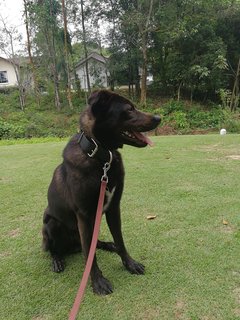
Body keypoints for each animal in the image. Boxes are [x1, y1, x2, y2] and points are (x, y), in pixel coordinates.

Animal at [42, 90, 160, 296]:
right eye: (129, 109)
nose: (158, 118)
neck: (103, 158)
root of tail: (71, 247)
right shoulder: (84, 215)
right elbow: (90, 255)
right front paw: (98, 282)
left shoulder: (114, 208)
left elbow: (120, 240)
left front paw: (129, 264)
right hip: (51, 223)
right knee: (57, 249)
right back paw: (57, 260)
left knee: (92, 244)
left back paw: (107, 245)